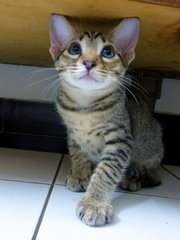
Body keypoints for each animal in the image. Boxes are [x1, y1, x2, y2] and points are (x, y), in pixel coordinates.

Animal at [48, 14, 163, 226]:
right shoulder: (72, 132)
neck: (84, 107)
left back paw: (132, 178)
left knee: (149, 173)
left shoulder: (120, 138)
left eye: (108, 52)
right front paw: (79, 174)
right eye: (74, 49)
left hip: (151, 146)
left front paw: (94, 203)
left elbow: (107, 171)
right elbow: (77, 153)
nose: (89, 62)